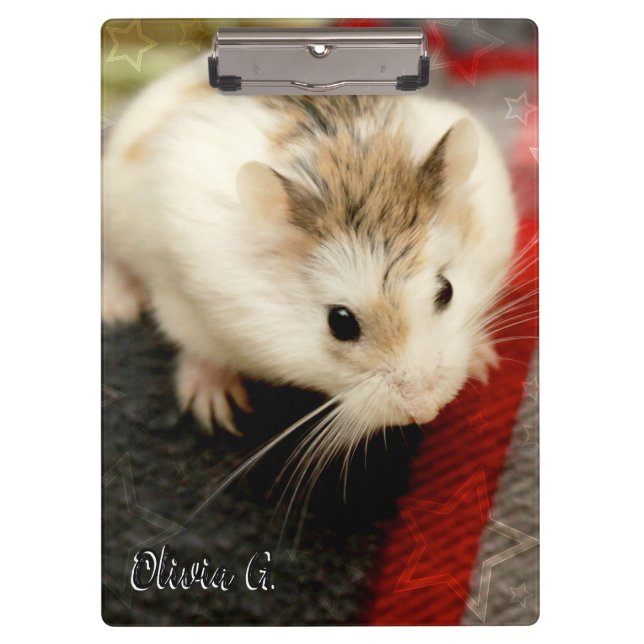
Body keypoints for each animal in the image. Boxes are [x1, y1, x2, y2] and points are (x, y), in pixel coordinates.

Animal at [102, 56, 517, 441]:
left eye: (446, 291)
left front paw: (486, 364)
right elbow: (200, 350)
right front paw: (216, 412)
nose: (427, 411)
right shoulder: (182, 301)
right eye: (340, 323)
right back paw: (118, 309)